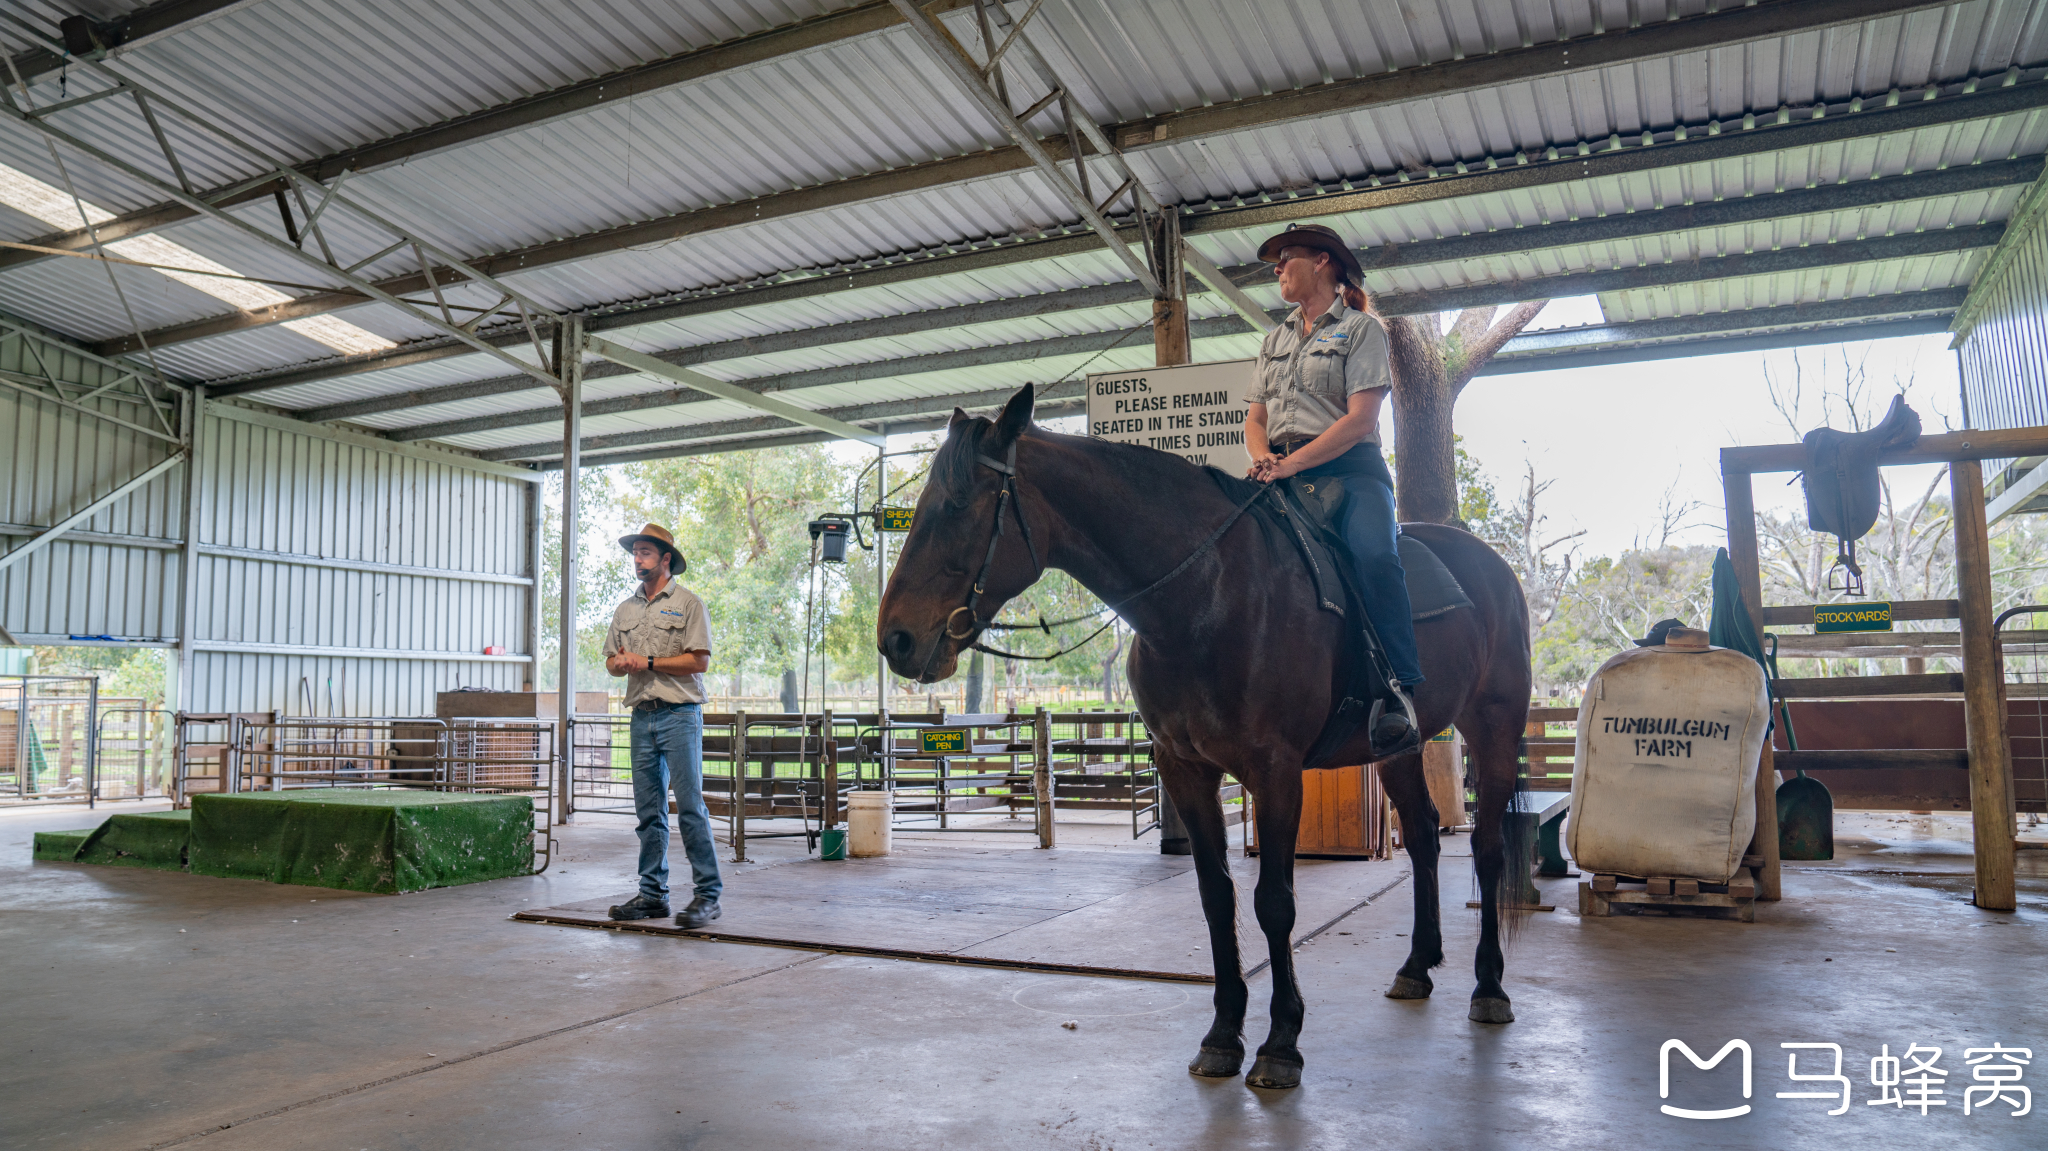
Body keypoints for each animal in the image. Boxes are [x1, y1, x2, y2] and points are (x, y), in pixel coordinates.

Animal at [880, 385, 1540, 1081]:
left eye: (958, 506)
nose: (895, 639)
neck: (1206, 594)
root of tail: (1492, 567)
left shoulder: (1275, 773)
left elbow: (1274, 902)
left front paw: (1281, 1041)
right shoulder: (1184, 768)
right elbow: (1216, 897)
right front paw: (1224, 1034)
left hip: (1495, 725)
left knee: (1487, 848)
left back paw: (1489, 987)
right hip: (1398, 749)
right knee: (1422, 837)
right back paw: (1417, 966)